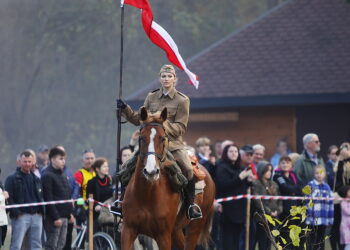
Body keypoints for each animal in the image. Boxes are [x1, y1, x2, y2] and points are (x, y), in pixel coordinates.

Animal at [121, 106, 216, 249]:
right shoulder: (128, 231)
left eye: (162, 138)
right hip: (176, 231)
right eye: (142, 138)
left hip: (194, 228)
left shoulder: (163, 236)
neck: (146, 194)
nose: (151, 171)